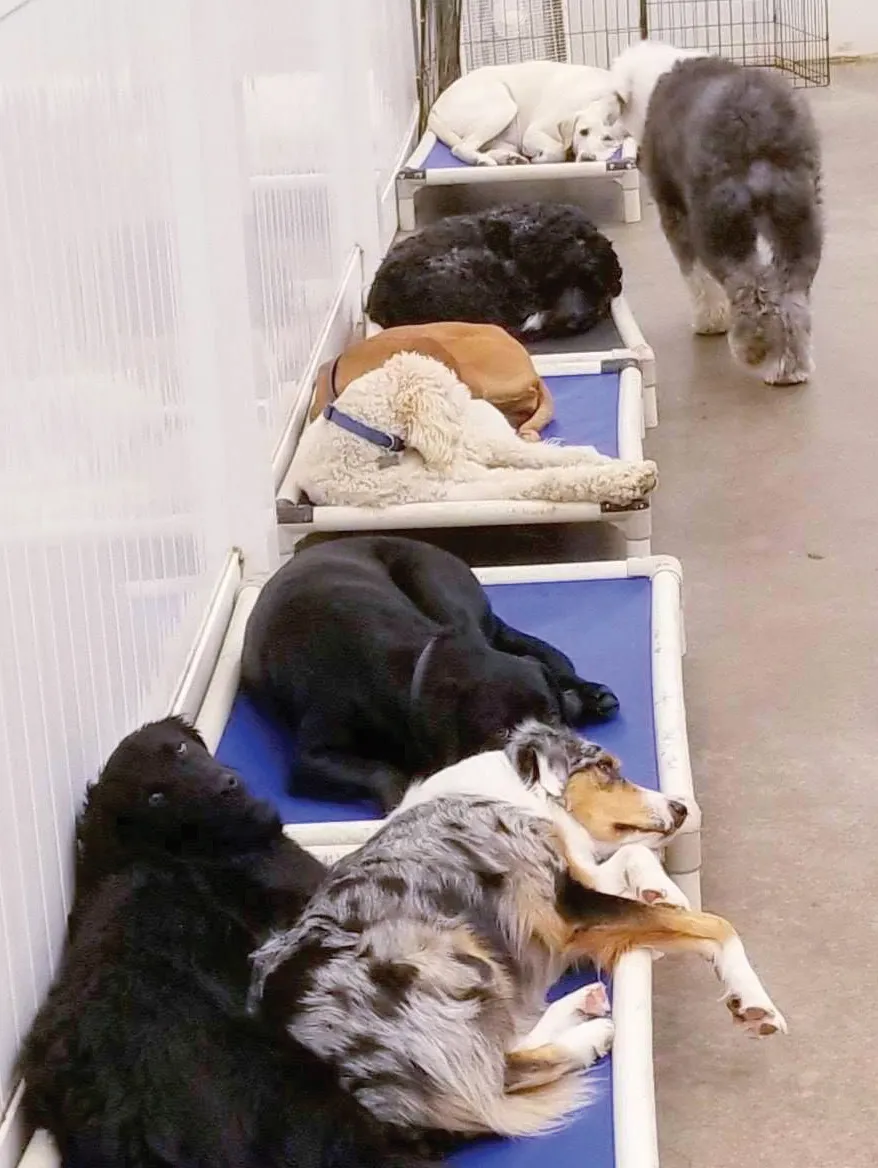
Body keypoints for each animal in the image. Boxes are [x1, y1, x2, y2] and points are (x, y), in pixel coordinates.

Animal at [249, 721, 786, 1140]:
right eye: (607, 768)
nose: (680, 808)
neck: (516, 792)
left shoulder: (569, 901)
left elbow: (634, 861)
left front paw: (662, 889)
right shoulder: (567, 909)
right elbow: (714, 923)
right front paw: (755, 1002)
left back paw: (581, 1004)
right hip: (444, 955)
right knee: (493, 1075)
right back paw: (589, 1035)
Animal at [290, 352, 657, 510]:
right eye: (452, 397)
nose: (469, 403)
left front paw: (625, 478)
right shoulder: (454, 488)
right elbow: (541, 481)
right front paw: (624, 481)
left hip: (488, 443)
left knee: (545, 454)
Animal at [428, 60, 626, 166]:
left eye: (608, 138)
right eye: (583, 131)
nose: (587, 158)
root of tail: (433, 108)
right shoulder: (533, 133)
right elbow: (557, 150)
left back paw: (509, 158)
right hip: (503, 107)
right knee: (461, 147)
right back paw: (484, 161)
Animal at [611, 40, 823, 385]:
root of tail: (757, 123)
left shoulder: (674, 210)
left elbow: (695, 274)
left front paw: (710, 320)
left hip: (719, 219)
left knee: (748, 286)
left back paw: (752, 348)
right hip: (797, 216)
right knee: (792, 292)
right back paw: (789, 367)